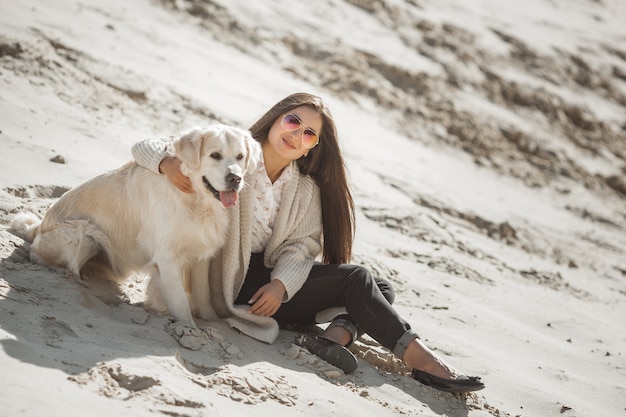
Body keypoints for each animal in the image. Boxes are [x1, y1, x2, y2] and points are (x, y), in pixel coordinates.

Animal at [12, 123, 260, 324]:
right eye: (215, 155)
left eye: (240, 156)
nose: (235, 179)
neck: (197, 201)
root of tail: (39, 226)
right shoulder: (167, 258)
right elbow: (181, 304)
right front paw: (190, 329)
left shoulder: (201, 254)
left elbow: (203, 295)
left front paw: (210, 326)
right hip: (84, 234)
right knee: (47, 258)